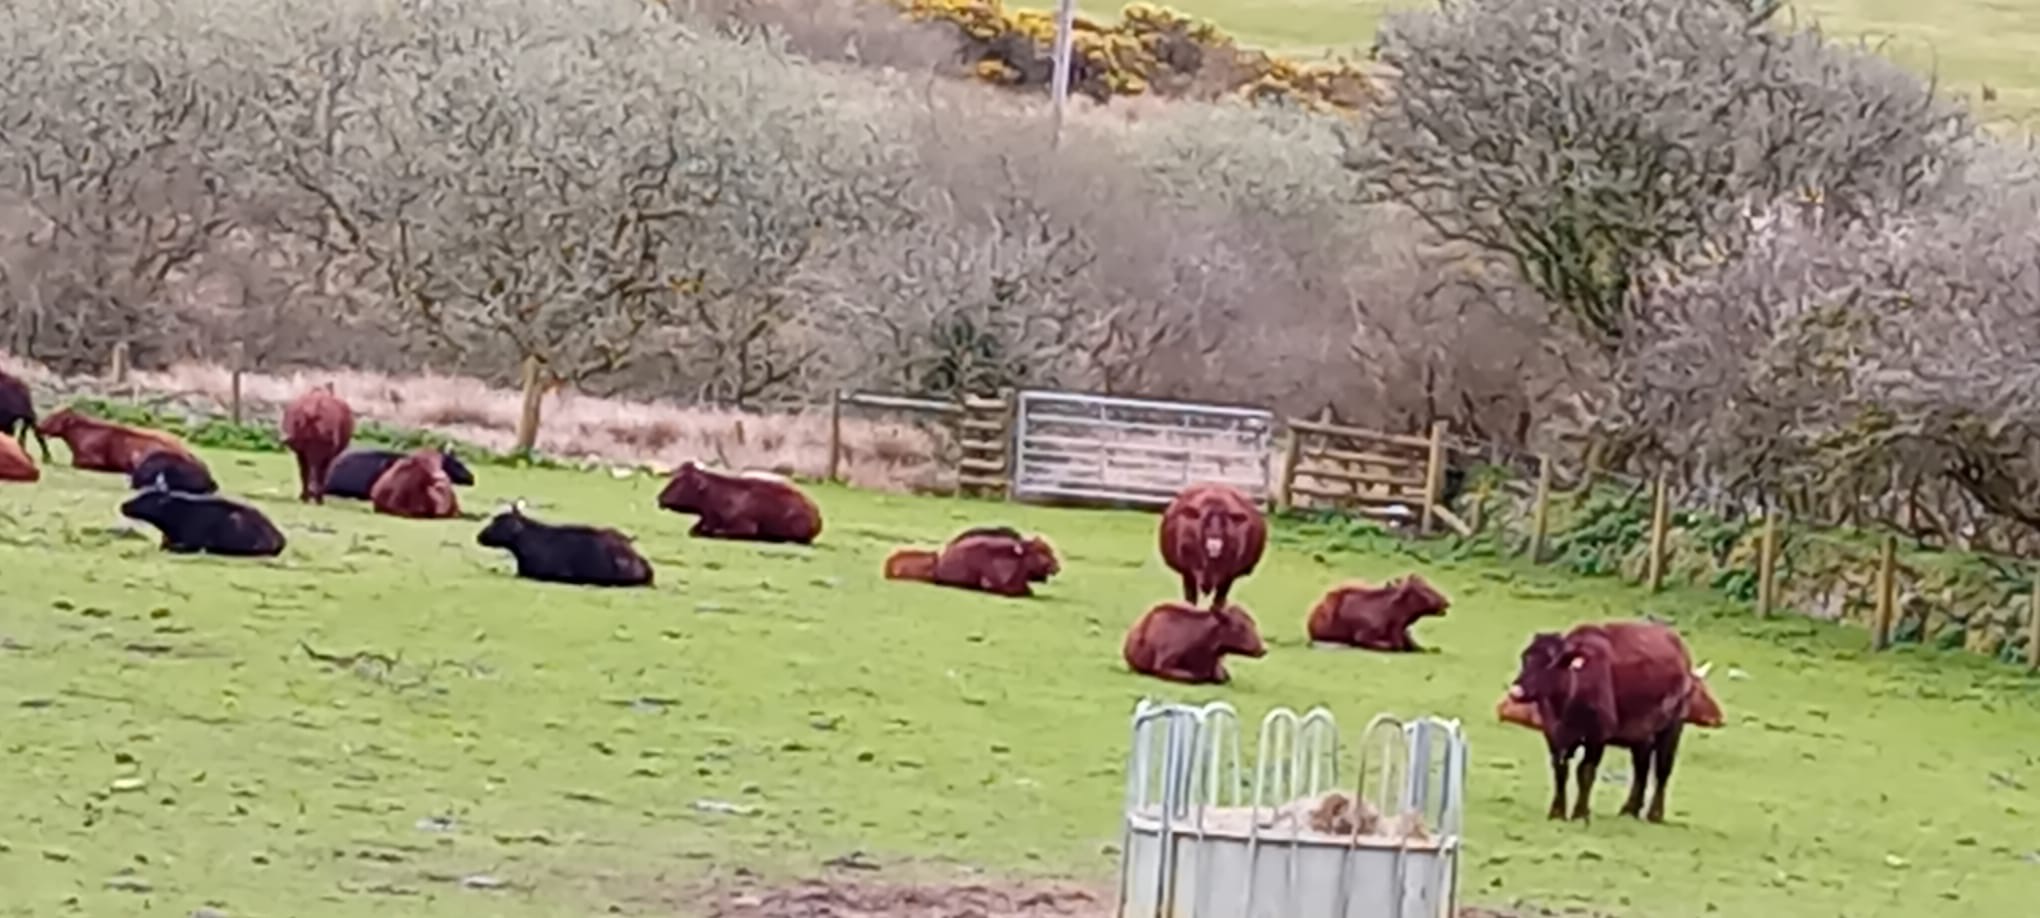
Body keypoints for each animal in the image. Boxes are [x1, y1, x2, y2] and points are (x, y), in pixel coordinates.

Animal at [1121, 600, 1268, 685]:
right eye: (1240, 627)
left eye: (1253, 623)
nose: (1263, 649)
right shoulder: (1163, 666)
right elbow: (1194, 677)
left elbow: (1224, 676)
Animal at [1505, 621, 1702, 824]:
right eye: (1525, 658)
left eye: (1549, 663)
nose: (1516, 691)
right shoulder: (1553, 735)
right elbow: (1560, 770)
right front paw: (1557, 812)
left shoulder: (1597, 736)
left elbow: (1585, 771)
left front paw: (1580, 813)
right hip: (1642, 736)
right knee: (1641, 768)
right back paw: (1629, 809)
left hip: (1672, 728)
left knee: (1663, 769)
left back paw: (1655, 814)